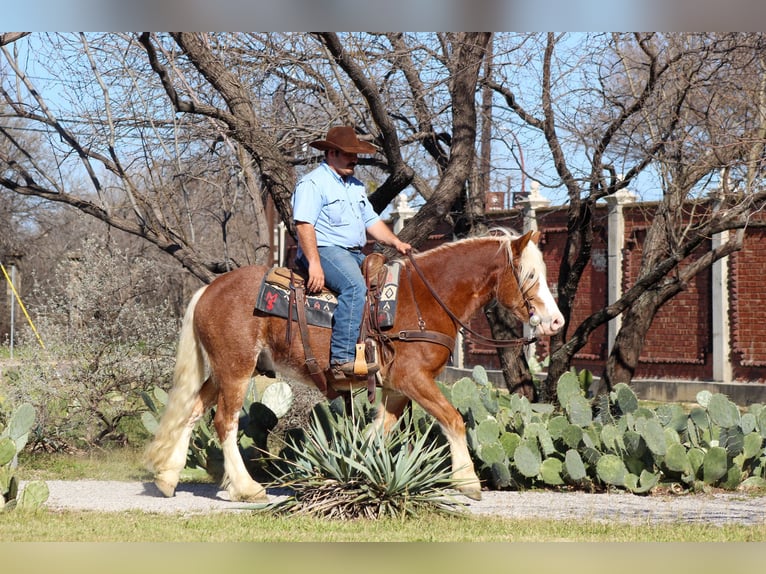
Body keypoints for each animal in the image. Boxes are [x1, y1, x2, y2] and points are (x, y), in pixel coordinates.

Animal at [146, 230, 564, 504]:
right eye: (529, 275)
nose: (556, 322)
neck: (425, 298)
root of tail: (209, 289)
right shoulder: (413, 379)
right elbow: (454, 419)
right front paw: (468, 483)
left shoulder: (396, 389)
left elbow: (374, 435)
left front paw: (357, 473)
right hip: (236, 370)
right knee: (225, 423)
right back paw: (247, 488)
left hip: (221, 371)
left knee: (192, 412)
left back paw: (169, 477)